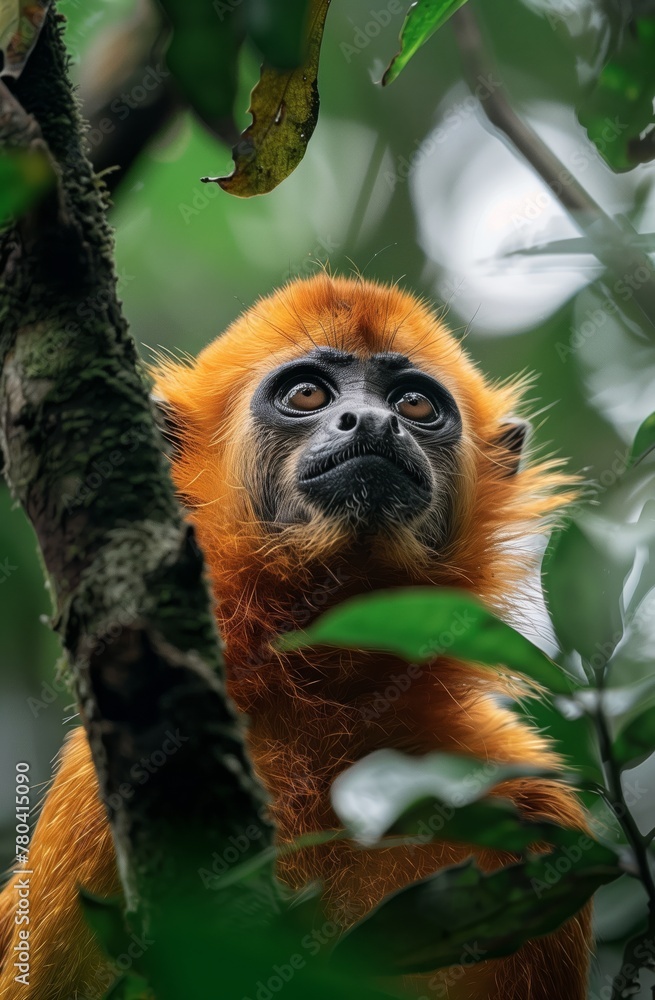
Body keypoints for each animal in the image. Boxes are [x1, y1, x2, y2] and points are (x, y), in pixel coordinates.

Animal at [0, 274, 591, 999]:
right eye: (307, 394)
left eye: (415, 404)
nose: (374, 422)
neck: (329, 697)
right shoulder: (90, 800)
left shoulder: (533, 808)